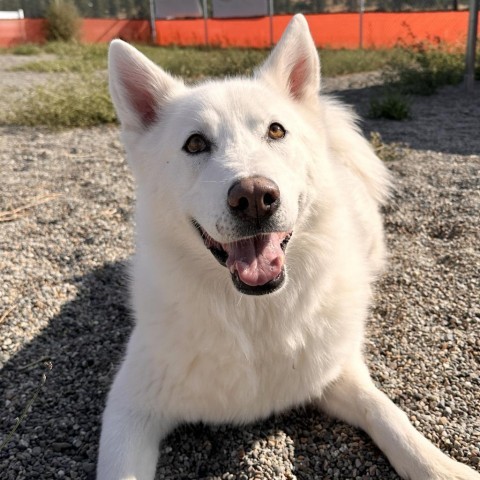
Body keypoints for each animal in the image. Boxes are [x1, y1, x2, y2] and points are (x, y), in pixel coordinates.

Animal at [98, 15, 480, 480]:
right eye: (195, 143)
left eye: (275, 130)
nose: (254, 197)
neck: (255, 317)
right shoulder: (129, 406)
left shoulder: (337, 370)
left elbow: (386, 410)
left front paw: (439, 465)